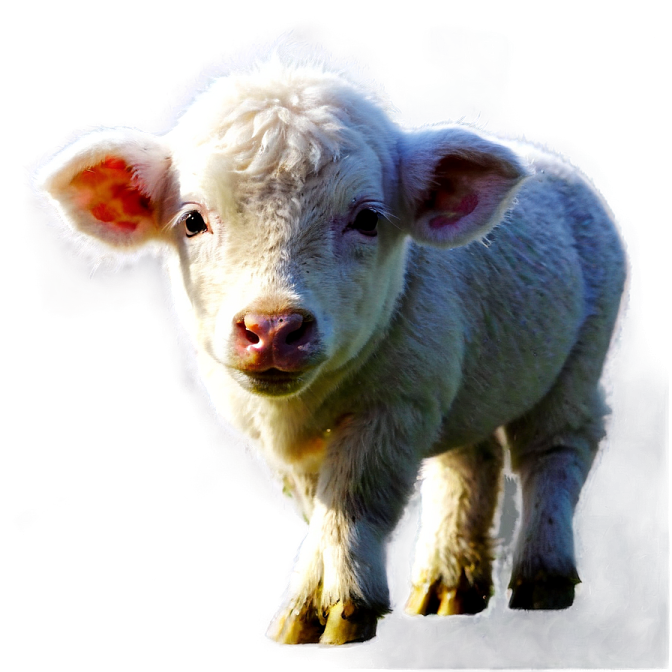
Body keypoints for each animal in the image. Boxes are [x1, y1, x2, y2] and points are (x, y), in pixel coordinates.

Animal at [25, 34, 629, 645]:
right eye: (192, 221)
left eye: (367, 219)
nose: (272, 327)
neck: (298, 409)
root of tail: (559, 165)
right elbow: (320, 506)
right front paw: (304, 617)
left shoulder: (398, 402)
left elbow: (353, 499)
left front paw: (341, 612)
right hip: (468, 381)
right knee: (471, 461)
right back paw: (448, 589)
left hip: (585, 349)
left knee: (556, 449)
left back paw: (543, 580)